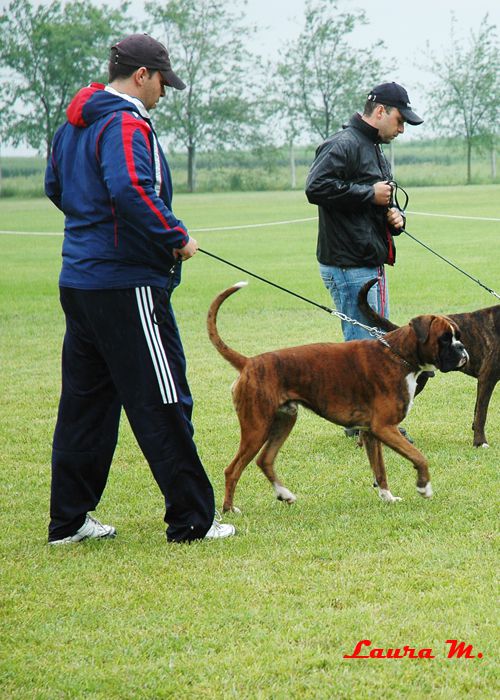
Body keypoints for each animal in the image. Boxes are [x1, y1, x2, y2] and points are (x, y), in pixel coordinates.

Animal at [206, 282, 468, 512]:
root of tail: (249, 362)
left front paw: (387, 497)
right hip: (257, 427)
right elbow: (419, 457)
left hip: (284, 420)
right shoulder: (385, 427)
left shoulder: (371, 432)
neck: (399, 354)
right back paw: (229, 509)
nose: (462, 348)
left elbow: (380, 470)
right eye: (444, 338)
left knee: (265, 460)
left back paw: (284, 494)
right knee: (232, 469)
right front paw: (424, 487)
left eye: (457, 335)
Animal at [358, 276, 498, 446]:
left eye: (460, 336)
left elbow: (477, 411)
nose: (461, 346)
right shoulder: (487, 378)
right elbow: (482, 414)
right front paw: (480, 442)